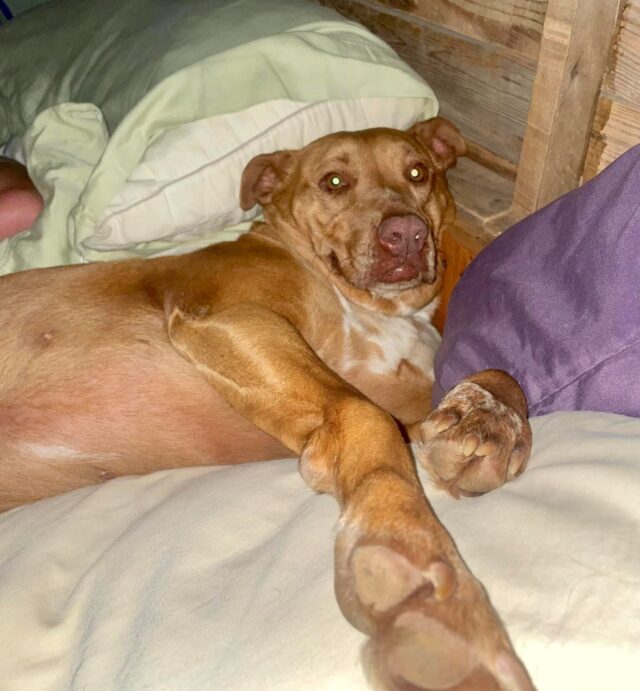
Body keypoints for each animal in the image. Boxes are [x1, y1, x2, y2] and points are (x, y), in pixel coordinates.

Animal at [1, 116, 536, 688]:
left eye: (418, 172)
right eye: (333, 182)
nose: (406, 234)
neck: (372, 311)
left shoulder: (405, 397)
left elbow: (497, 376)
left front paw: (488, 422)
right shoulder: (232, 317)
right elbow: (367, 419)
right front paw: (412, 562)